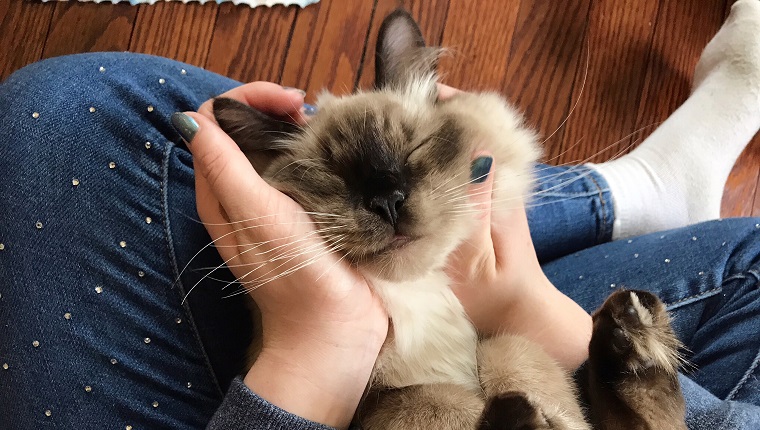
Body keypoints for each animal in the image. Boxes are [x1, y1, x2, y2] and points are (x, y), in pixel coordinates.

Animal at [211, 10, 684, 430]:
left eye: (415, 149)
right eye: (332, 175)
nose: (387, 201)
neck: (426, 295)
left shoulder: (499, 346)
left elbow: (511, 356)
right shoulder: (380, 403)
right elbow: (438, 398)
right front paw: (512, 415)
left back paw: (630, 334)